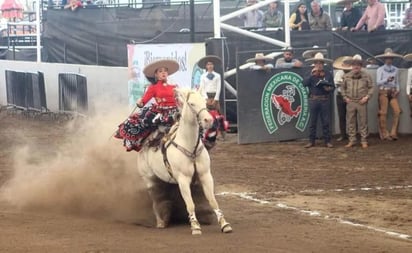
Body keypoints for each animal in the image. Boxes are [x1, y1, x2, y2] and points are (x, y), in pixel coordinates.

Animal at [136, 87, 230, 235]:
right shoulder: (183, 179)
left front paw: (224, 224)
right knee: (156, 200)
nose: (208, 120)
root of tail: (144, 145)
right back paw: (160, 222)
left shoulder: (205, 175)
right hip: (149, 179)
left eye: (204, 101)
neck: (189, 146)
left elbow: (213, 201)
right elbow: (190, 204)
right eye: (191, 103)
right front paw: (195, 226)